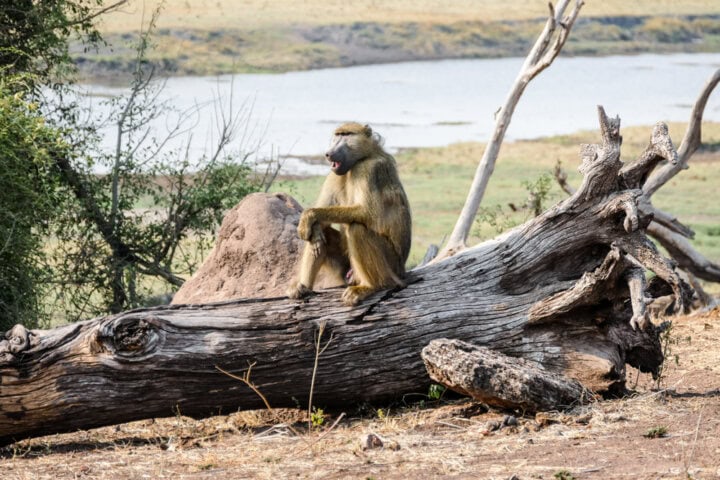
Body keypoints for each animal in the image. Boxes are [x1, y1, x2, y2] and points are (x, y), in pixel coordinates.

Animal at [287, 122, 412, 306]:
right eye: (337, 135)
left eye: (346, 135)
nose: (328, 153)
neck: (363, 157)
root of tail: (402, 270)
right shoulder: (334, 175)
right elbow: (321, 224)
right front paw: (311, 229)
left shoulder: (369, 170)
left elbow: (366, 213)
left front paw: (309, 215)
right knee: (325, 232)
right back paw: (303, 286)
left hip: (391, 266)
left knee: (357, 229)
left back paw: (369, 287)